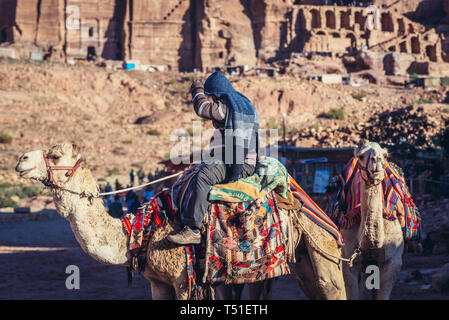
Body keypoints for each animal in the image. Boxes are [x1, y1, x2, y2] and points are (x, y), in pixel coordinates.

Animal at [14, 142, 344, 300]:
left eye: (55, 155)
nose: (21, 160)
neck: (141, 231)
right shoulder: (158, 282)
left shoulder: (183, 278)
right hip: (287, 262)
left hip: (323, 247)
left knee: (332, 288)